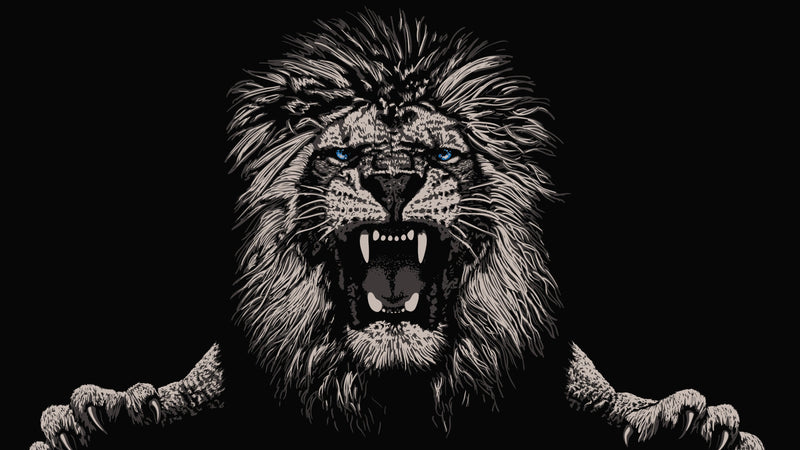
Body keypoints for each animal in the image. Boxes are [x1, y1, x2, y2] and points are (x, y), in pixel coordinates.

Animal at [31, 10, 763, 450]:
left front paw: (690, 426)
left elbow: (610, 400)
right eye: (341, 153)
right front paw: (110, 418)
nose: (391, 181)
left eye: (441, 155)